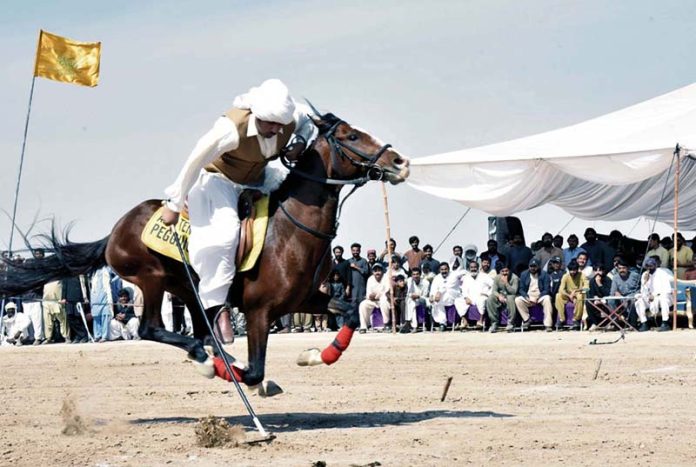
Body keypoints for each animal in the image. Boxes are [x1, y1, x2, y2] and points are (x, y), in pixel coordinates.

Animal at [1, 108, 410, 395]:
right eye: (351, 135)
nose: (399, 161)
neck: (291, 230)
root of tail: (114, 231)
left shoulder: (304, 298)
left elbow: (351, 312)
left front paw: (314, 355)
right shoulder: (260, 310)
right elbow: (255, 370)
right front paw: (245, 375)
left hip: (186, 288)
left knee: (198, 330)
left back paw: (212, 355)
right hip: (151, 279)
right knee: (152, 327)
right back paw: (205, 359)